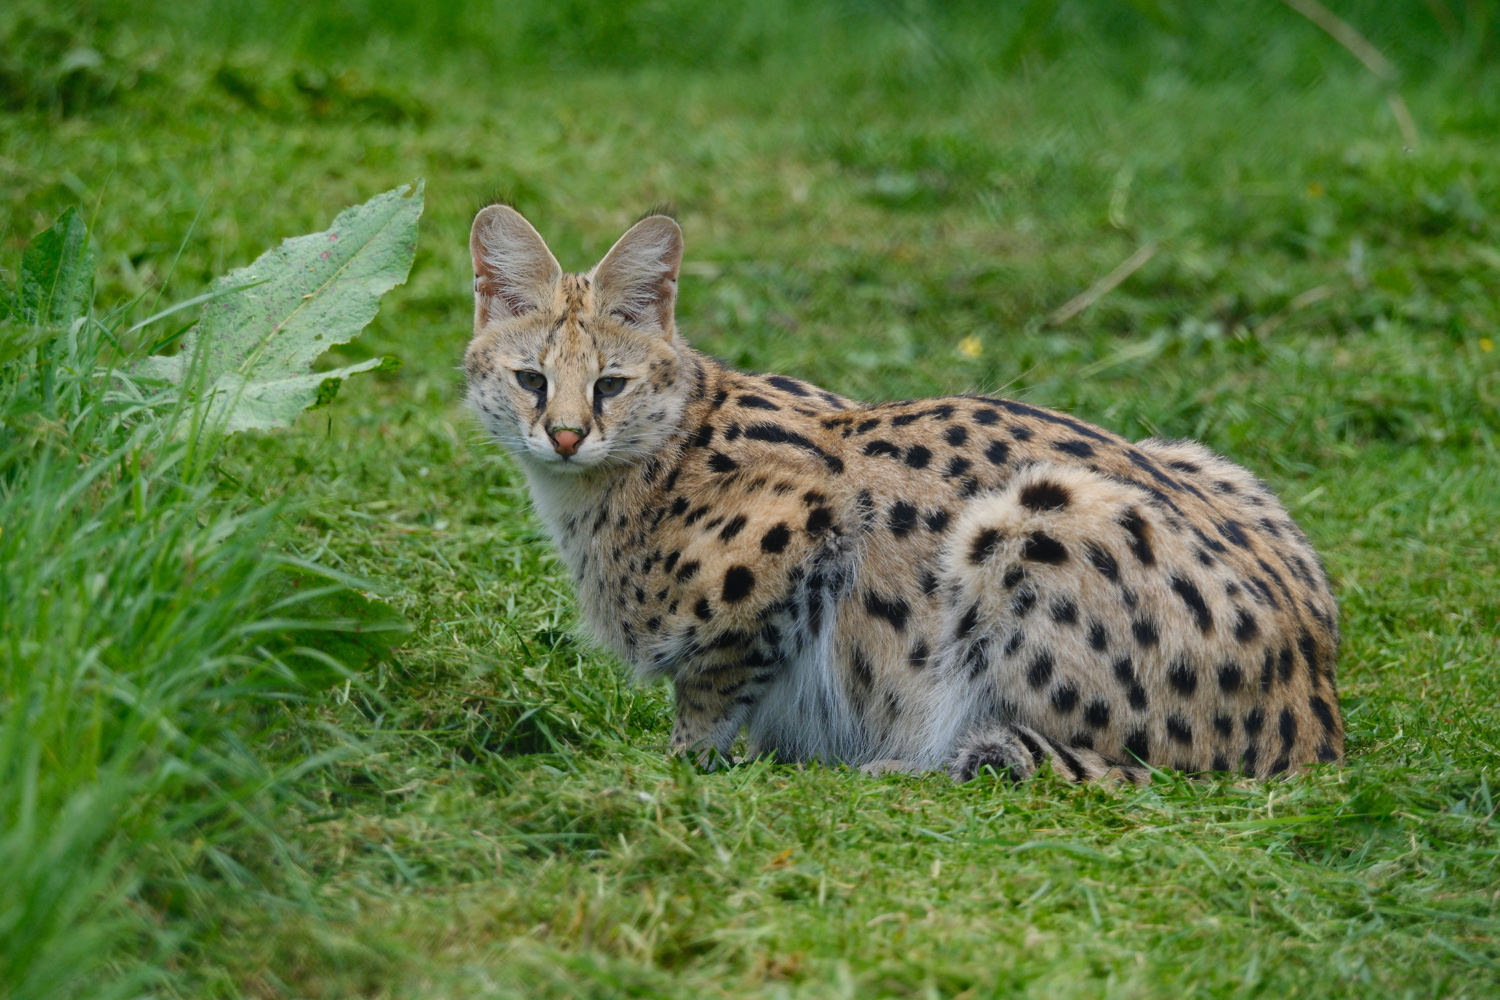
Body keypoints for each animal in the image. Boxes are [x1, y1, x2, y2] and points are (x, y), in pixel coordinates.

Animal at [462, 203, 1344, 779]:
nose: (565, 435)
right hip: (1204, 463)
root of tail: (1319, 718)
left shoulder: (804, 520)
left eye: (610, 384)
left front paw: (680, 768)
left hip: (1032, 517)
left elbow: (714, 683)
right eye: (532, 380)